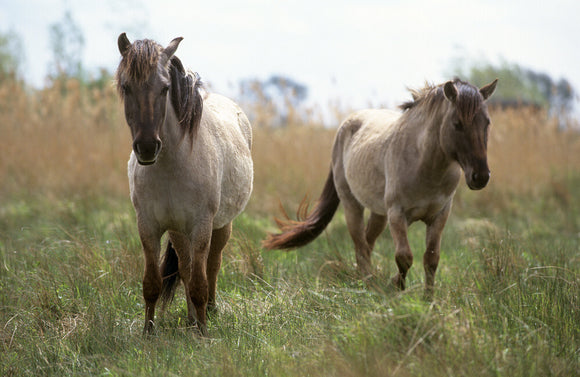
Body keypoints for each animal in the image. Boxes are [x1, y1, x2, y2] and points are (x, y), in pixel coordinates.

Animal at [116, 31, 254, 332]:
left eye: (165, 88)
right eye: (126, 86)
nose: (147, 147)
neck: (170, 165)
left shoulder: (202, 226)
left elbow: (200, 282)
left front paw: (202, 333)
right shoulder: (148, 226)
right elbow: (153, 283)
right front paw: (148, 332)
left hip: (221, 225)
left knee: (212, 265)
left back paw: (209, 312)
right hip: (179, 231)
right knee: (187, 267)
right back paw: (192, 318)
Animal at [262, 77, 494, 294]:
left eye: (487, 123)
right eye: (457, 123)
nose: (480, 176)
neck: (425, 165)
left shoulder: (439, 215)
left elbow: (431, 259)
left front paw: (429, 299)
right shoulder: (397, 213)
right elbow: (404, 257)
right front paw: (397, 289)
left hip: (379, 213)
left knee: (367, 242)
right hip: (352, 205)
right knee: (360, 245)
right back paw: (366, 284)